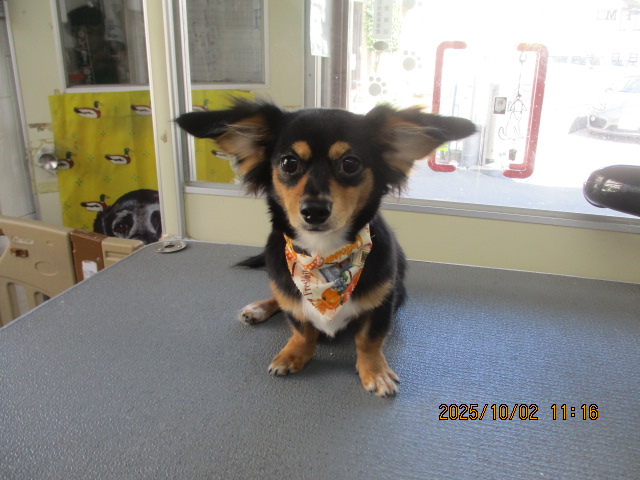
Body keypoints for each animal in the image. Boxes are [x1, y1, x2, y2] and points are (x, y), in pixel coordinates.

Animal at [177, 100, 475, 396]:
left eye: (350, 163)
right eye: (289, 163)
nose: (314, 211)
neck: (324, 255)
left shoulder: (384, 300)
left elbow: (369, 339)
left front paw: (375, 372)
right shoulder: (293, 291)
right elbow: (300, 327)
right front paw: (294, 353)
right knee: (280, 295)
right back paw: (258, 308)